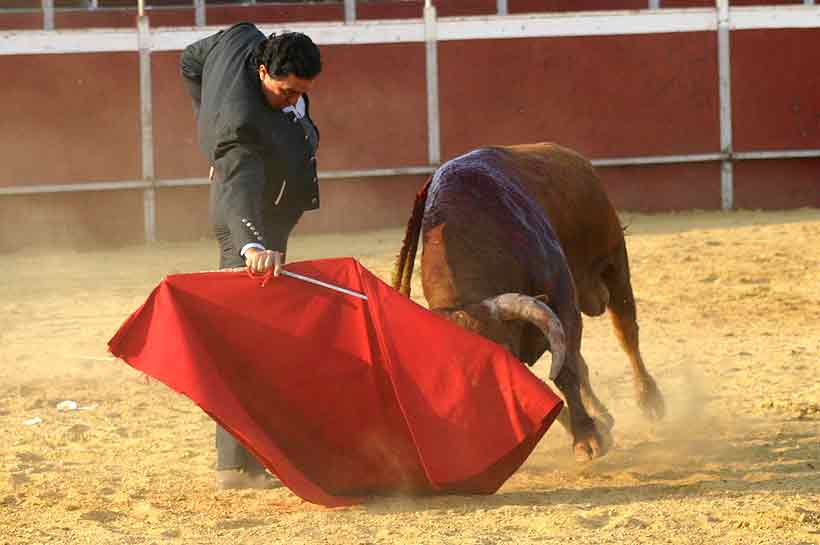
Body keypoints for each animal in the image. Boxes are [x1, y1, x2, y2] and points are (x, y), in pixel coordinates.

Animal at [390, 143, 668, 460]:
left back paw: (650, 400)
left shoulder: (562, 302)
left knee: (626, 332)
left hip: (613, 262)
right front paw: (590, 427)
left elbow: (565, 371)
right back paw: (604, 415)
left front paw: (587, 438)